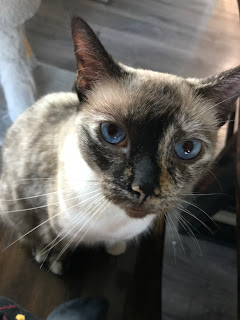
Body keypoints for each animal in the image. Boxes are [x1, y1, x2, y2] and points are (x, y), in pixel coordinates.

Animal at [0, 15, 240, 276]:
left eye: (187, 149)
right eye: (113, 133)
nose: (145, 188)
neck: (113, 221)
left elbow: (114, 243)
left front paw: (115, 248)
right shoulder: (41, 211)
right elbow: (51, 239)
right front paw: (54, 261)